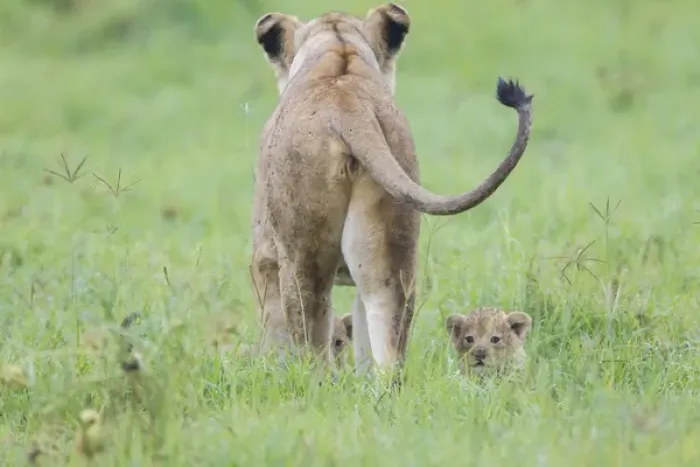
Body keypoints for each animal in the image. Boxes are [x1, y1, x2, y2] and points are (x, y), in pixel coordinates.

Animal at [249, 3, 534, 377]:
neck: (337, 57)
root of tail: (348, 105)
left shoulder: (263, 258)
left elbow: (272, 333)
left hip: (302, 256)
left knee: (314, 344)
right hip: (391, 254)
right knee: (387, 352)